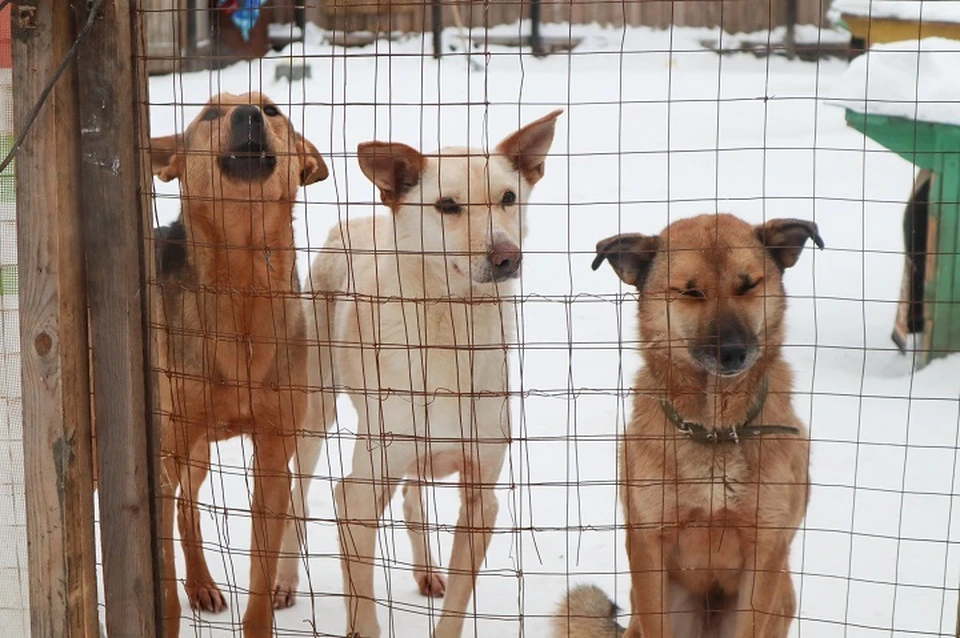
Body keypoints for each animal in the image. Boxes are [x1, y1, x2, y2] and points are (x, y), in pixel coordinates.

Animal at [150, 91, 328, 638]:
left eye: (272, 111)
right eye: (209, 114)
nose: (246, 116)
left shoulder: (273, 459)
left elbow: (260, 581)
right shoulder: (160, 455)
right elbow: (161, 586)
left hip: (197, 452)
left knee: (187, 508)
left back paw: (202, 584)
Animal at [270, 112, 564, 636]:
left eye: (508, 197)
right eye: (447, 206)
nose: (507, 256)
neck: (452, 329)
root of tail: (355, 222)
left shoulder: (481, 497)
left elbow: (456, 607)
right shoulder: (358, 496)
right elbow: (362, 604)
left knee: (410, 497)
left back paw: (426, 570)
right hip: (314, 414)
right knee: (296, 496)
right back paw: (284, 580)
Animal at [560, 214, 820, 638]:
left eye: (748, 285)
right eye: (691, 292)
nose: (733, 352)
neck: (714, 430)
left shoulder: (765, 551)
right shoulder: (649, 546)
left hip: (782, 594)